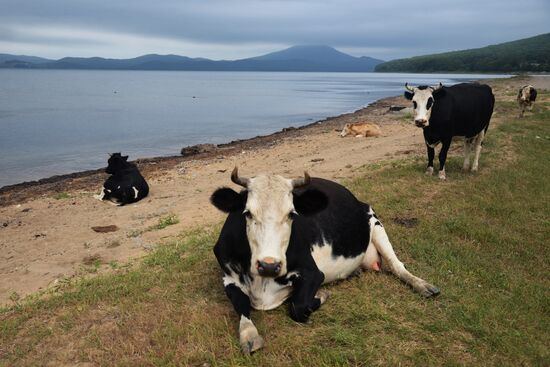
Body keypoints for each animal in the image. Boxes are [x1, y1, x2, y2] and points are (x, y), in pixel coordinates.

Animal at [210, 168, 440, 356]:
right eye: (247, 213)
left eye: (291, 214)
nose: (269, 265)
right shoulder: (228, 278)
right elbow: (242, 306)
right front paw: (249, 335)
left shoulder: (313, 273)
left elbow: (299, 306)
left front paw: (321, 294)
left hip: (374, 222)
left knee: (396, 265)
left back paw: (423, 285)